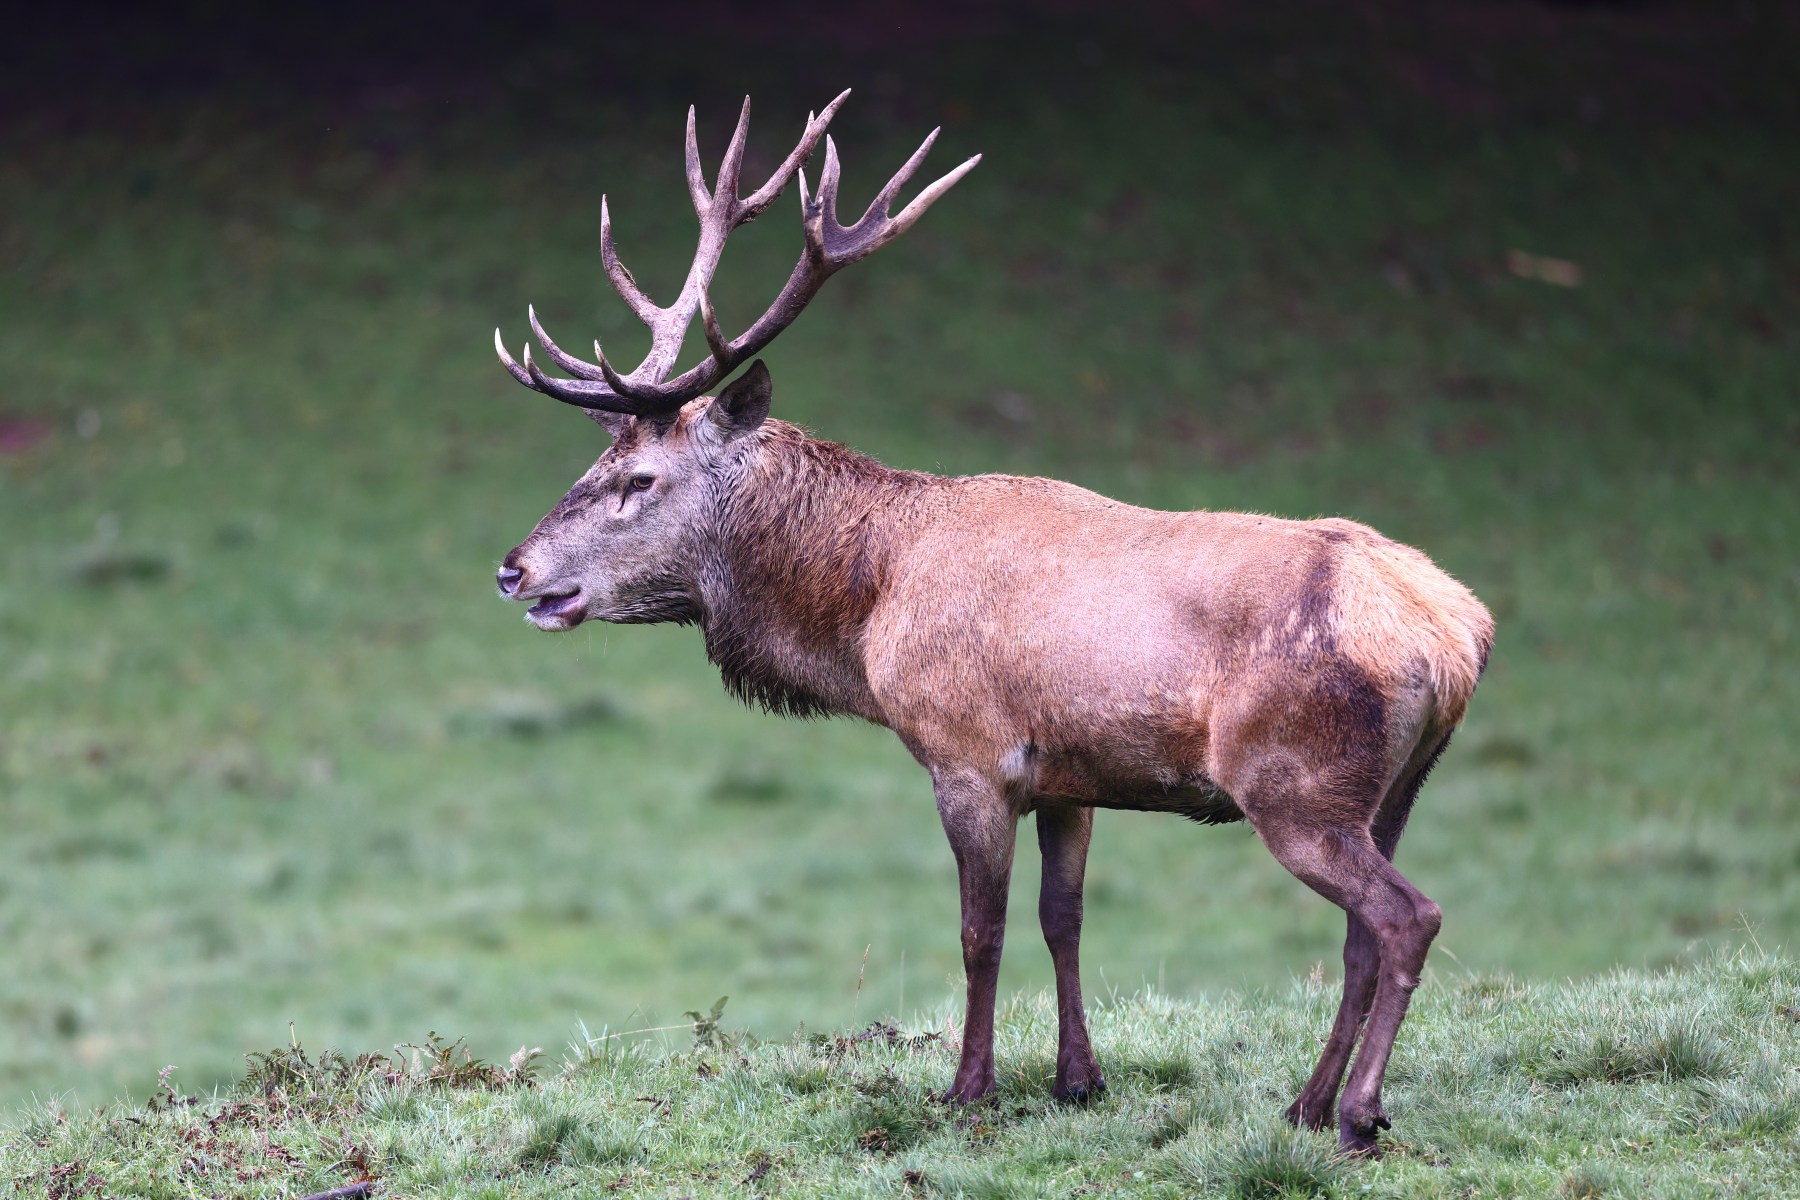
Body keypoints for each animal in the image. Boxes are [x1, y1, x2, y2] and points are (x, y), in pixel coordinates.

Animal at [491, 92, 1493, 1155]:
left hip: (1296, 780)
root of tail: (1453, 635)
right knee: (1362, 933)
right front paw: (1077, 1080)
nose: (515, 569)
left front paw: (968, 1089)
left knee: (1406, 917)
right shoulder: (1071, 775)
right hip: (1394, 787)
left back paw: (1356, 1111)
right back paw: (1306, 1103)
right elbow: (1065, 919)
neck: (867, 611)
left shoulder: (966, 751)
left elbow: (982, 931)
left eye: (639, 480)